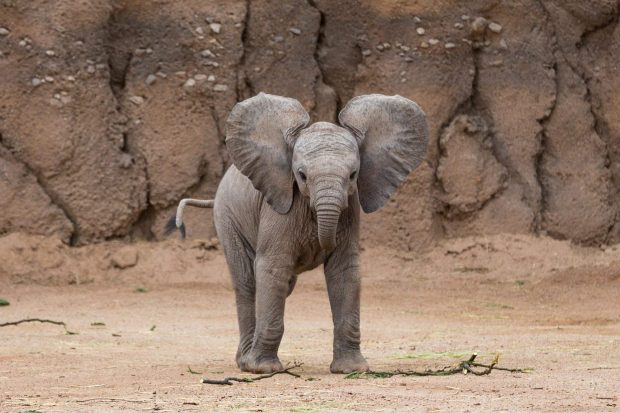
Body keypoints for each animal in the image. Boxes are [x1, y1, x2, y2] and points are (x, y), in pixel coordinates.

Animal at [172, 92, 428, 374]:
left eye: (353, 175)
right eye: (302, 176)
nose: (322, 242)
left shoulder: (349, 211)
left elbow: (344, 270)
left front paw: (351, 370)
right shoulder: (279, 207)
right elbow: (272, 268)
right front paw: (263, 370)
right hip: (227, 217)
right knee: (247, 282)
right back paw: (245, 363)